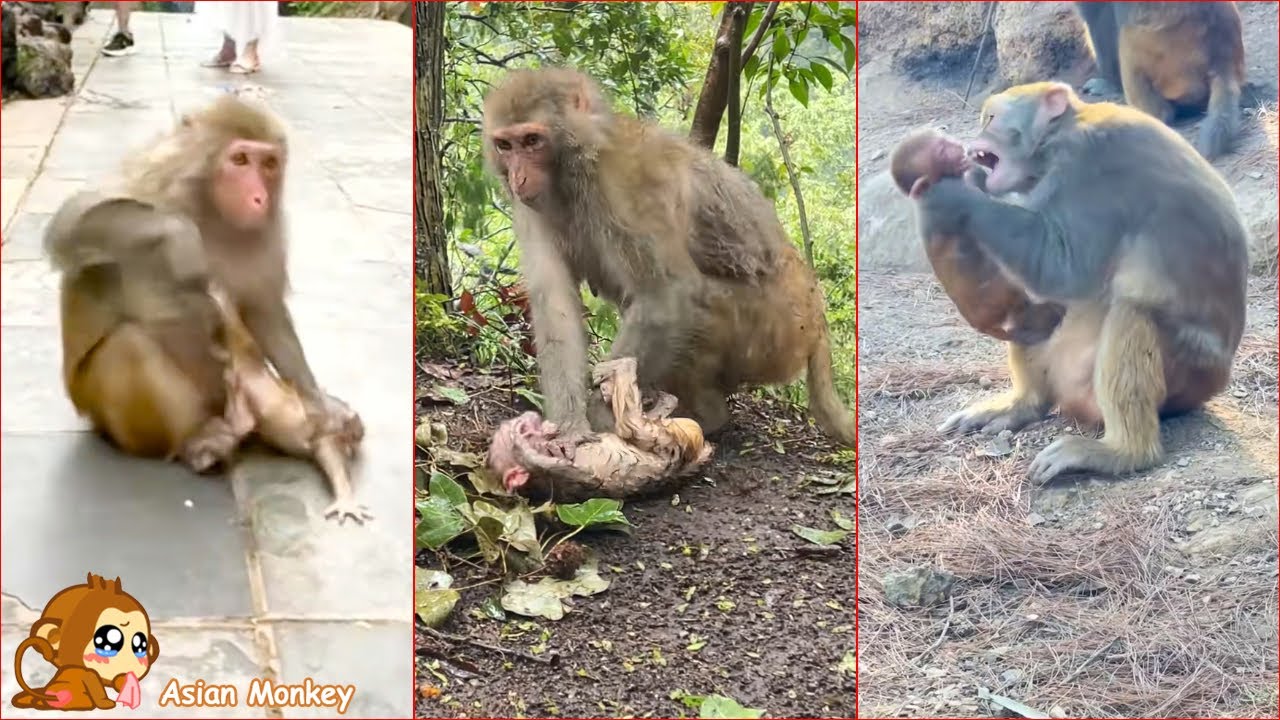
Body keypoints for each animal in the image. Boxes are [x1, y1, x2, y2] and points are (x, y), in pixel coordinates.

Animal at [43, 95, 368, 523]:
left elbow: (261, 309)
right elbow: (69, 227)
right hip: (102, 411)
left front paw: (318, 405)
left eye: (269, 164)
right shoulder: (153, 174)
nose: (258, 198)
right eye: (240, 159)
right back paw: (199, 444)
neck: (211, 209)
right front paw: (180, 238)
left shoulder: (266, 232)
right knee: (131, 342)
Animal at [481, 67, 855, 448]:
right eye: (505, 145)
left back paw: (707, 416)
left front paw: (604, 414)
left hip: (775, 331)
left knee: (698, 303)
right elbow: (556, 309)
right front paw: (570, 425)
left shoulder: (625, 184)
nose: (518, 177)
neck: (577, 167)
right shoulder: (531, 209)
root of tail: (814, 304)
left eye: (531, 140)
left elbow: (665, 298)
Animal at [889, 127, 1067, 346]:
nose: (956, 146)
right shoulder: (948, 194)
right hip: (995, 301)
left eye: (943, 141)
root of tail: (979, 324)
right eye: (941, 151)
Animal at [914, 81, 1248, 483]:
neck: (1061, 133)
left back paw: (1124, 451)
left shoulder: (1088, 166)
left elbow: (1059, 269)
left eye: (991, 118)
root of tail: (1218, 381)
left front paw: (953, 194)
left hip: (1190, 375)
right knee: (1036, 321)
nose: (971, 144)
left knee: (1133, 313)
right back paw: (1023, 404)